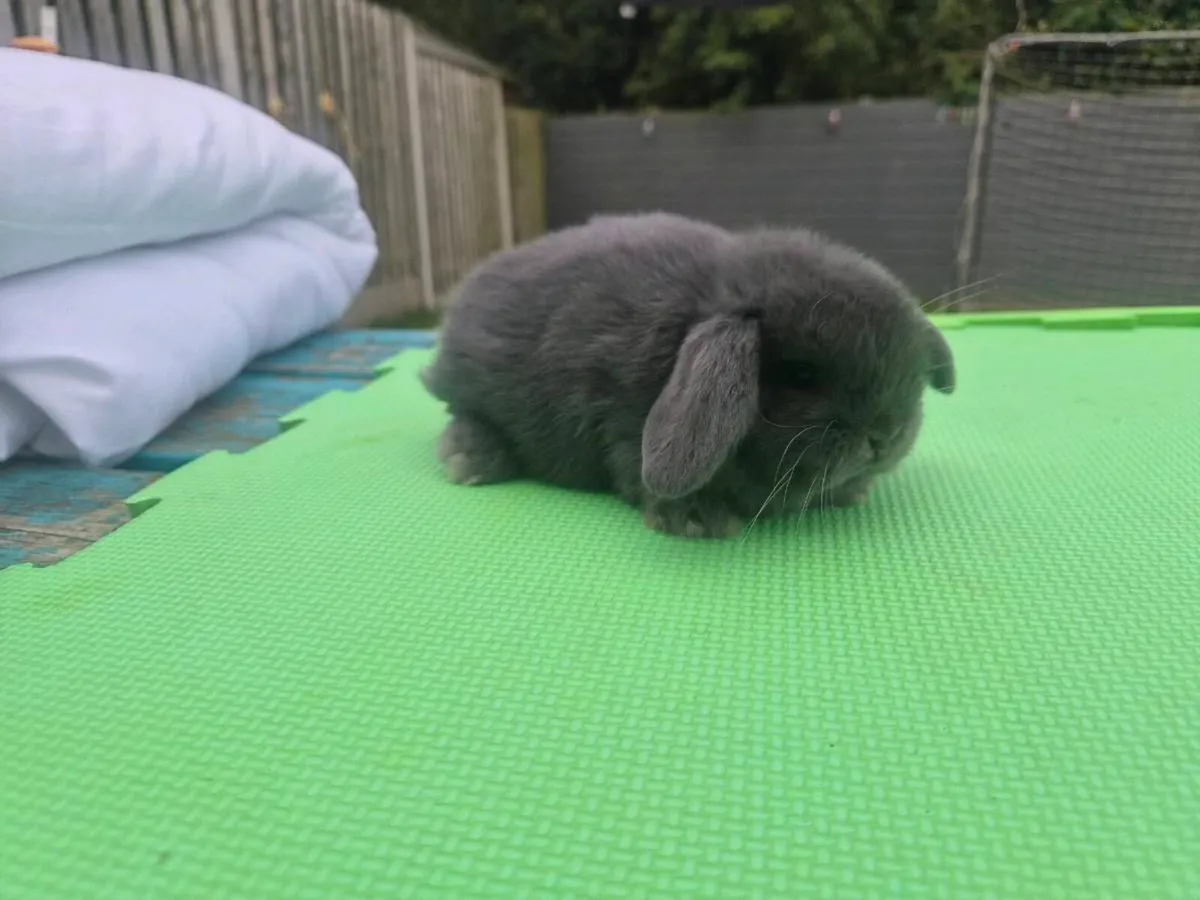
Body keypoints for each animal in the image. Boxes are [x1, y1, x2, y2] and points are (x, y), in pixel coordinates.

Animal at [420, 212, 955, 539]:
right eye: (802, 375)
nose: (886, 436)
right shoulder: (622, 425)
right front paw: (698, 520)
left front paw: (853, 493)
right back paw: (472, 459)